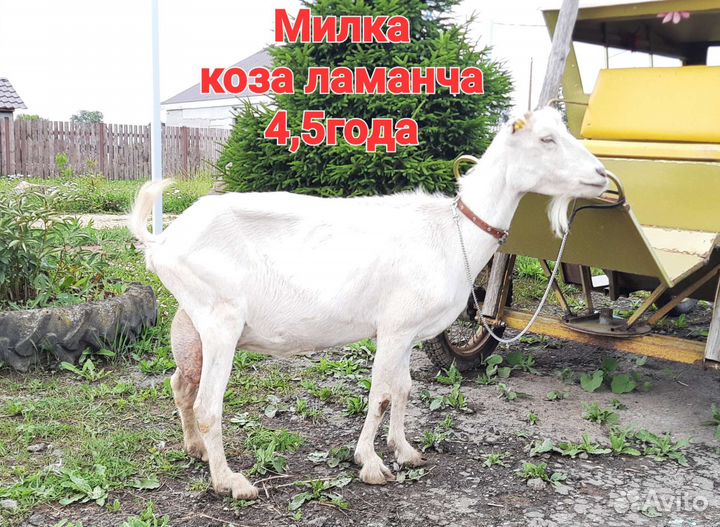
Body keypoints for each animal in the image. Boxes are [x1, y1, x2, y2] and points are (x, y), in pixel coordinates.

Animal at [128, 107, 609, 499]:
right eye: (546, 139)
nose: (602, 175)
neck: (449, 232)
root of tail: (163, 240)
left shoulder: (405, 331)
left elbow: (403, 388)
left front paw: (405, 450)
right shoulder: (395, 326)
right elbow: (379, 393)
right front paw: (371, 463)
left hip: (192, 318)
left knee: (181, 382)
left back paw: (195, 449)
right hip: (221, 320)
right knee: (208, 403)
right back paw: (230, 481)